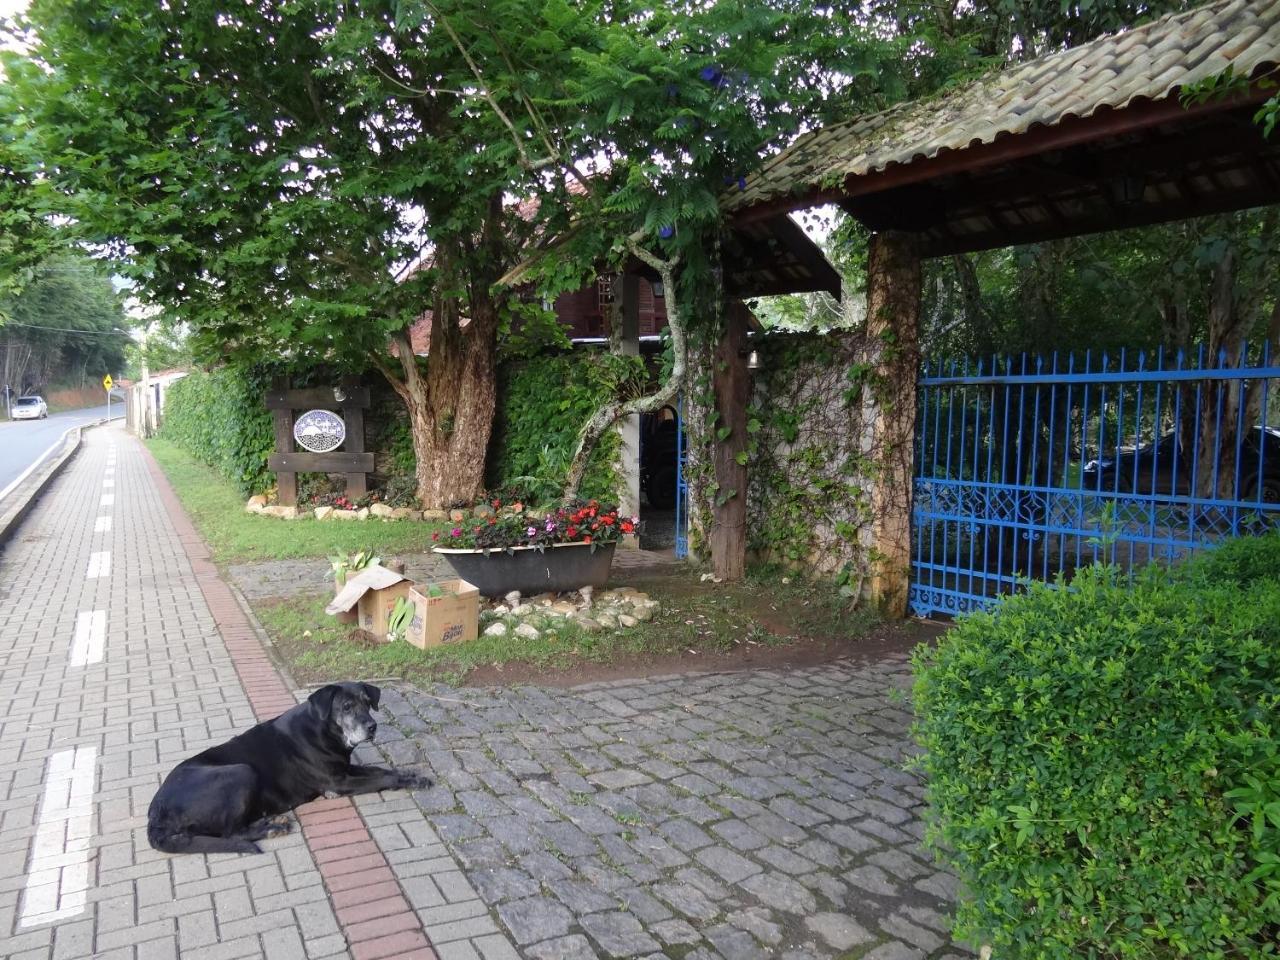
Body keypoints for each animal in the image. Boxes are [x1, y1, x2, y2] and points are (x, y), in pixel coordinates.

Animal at [147, 686, 430, 855]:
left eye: (368, 702)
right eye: (347, 706)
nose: (372, 727)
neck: (323, 730)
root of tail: (156, 812)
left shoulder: (345, 769)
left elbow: (378, 769)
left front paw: (411, 775)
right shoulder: (338, 782)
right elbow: (382, 777)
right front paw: (408, 780)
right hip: (241, 771)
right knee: (232, 831)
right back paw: (272, 828)